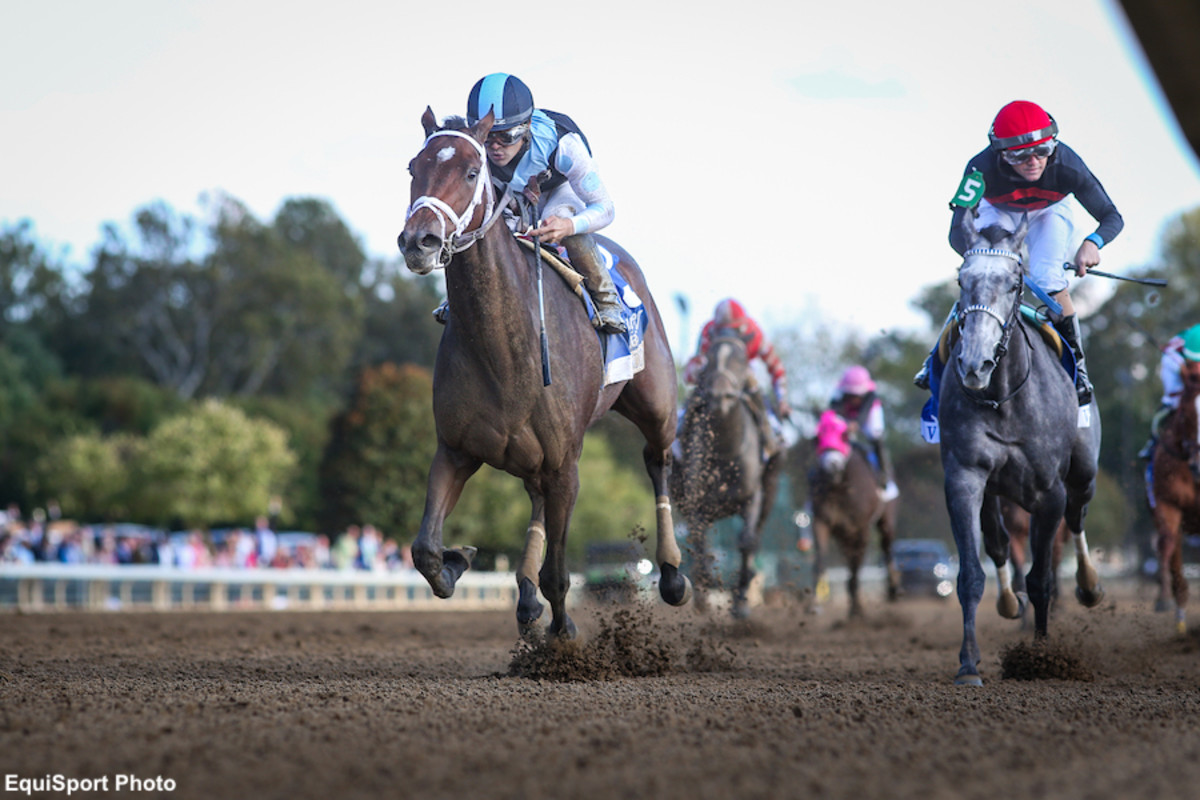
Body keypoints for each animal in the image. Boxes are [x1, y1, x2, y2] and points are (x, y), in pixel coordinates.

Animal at [398, 109, 691, 642]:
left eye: (470, 172)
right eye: (414, 168)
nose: (418, 240)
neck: (503, 355)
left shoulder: (566, 466)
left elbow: (560, 572)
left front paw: (564, 634)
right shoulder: (455, 450)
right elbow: (425, 550)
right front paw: (458, 558)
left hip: (656, 405)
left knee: (658, 461)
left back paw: (673, 575)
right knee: (534, 499)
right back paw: (525, 596)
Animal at [676, 331, 787, 618]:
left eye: (741, 359)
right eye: (709, 358)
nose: (720, 395)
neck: (725, 449)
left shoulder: (752, 497)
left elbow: (747, 541)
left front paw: (741, 602)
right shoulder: (695, 503)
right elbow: (700, 542)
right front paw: (704, 591)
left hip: (770, 491)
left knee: (755, 536)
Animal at [806, 410, 902, 618]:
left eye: (843, 436)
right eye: (818, 438)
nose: (832, 466)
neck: (839, 486)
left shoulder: (861, 528)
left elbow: (856, 565)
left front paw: (856, 609)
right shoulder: (822, 521)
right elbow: (820, 558)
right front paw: (814, 600)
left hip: (886, 518)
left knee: (886, 546)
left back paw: (894, 589)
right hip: (843, 534)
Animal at [936, 214, 1104, 690]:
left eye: (1014, 283)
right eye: (962, 280)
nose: (973, 364)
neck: (1004, 396)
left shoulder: (1049, 492)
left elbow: (1043, 579)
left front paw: (1042, 659)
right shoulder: (964, 478)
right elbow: (970, 575)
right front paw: (968, 665)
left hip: (1083, 472)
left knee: (1078, 517)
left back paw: (1089, 585)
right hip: (996, 494)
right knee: (995, 543)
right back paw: (1009, 601)